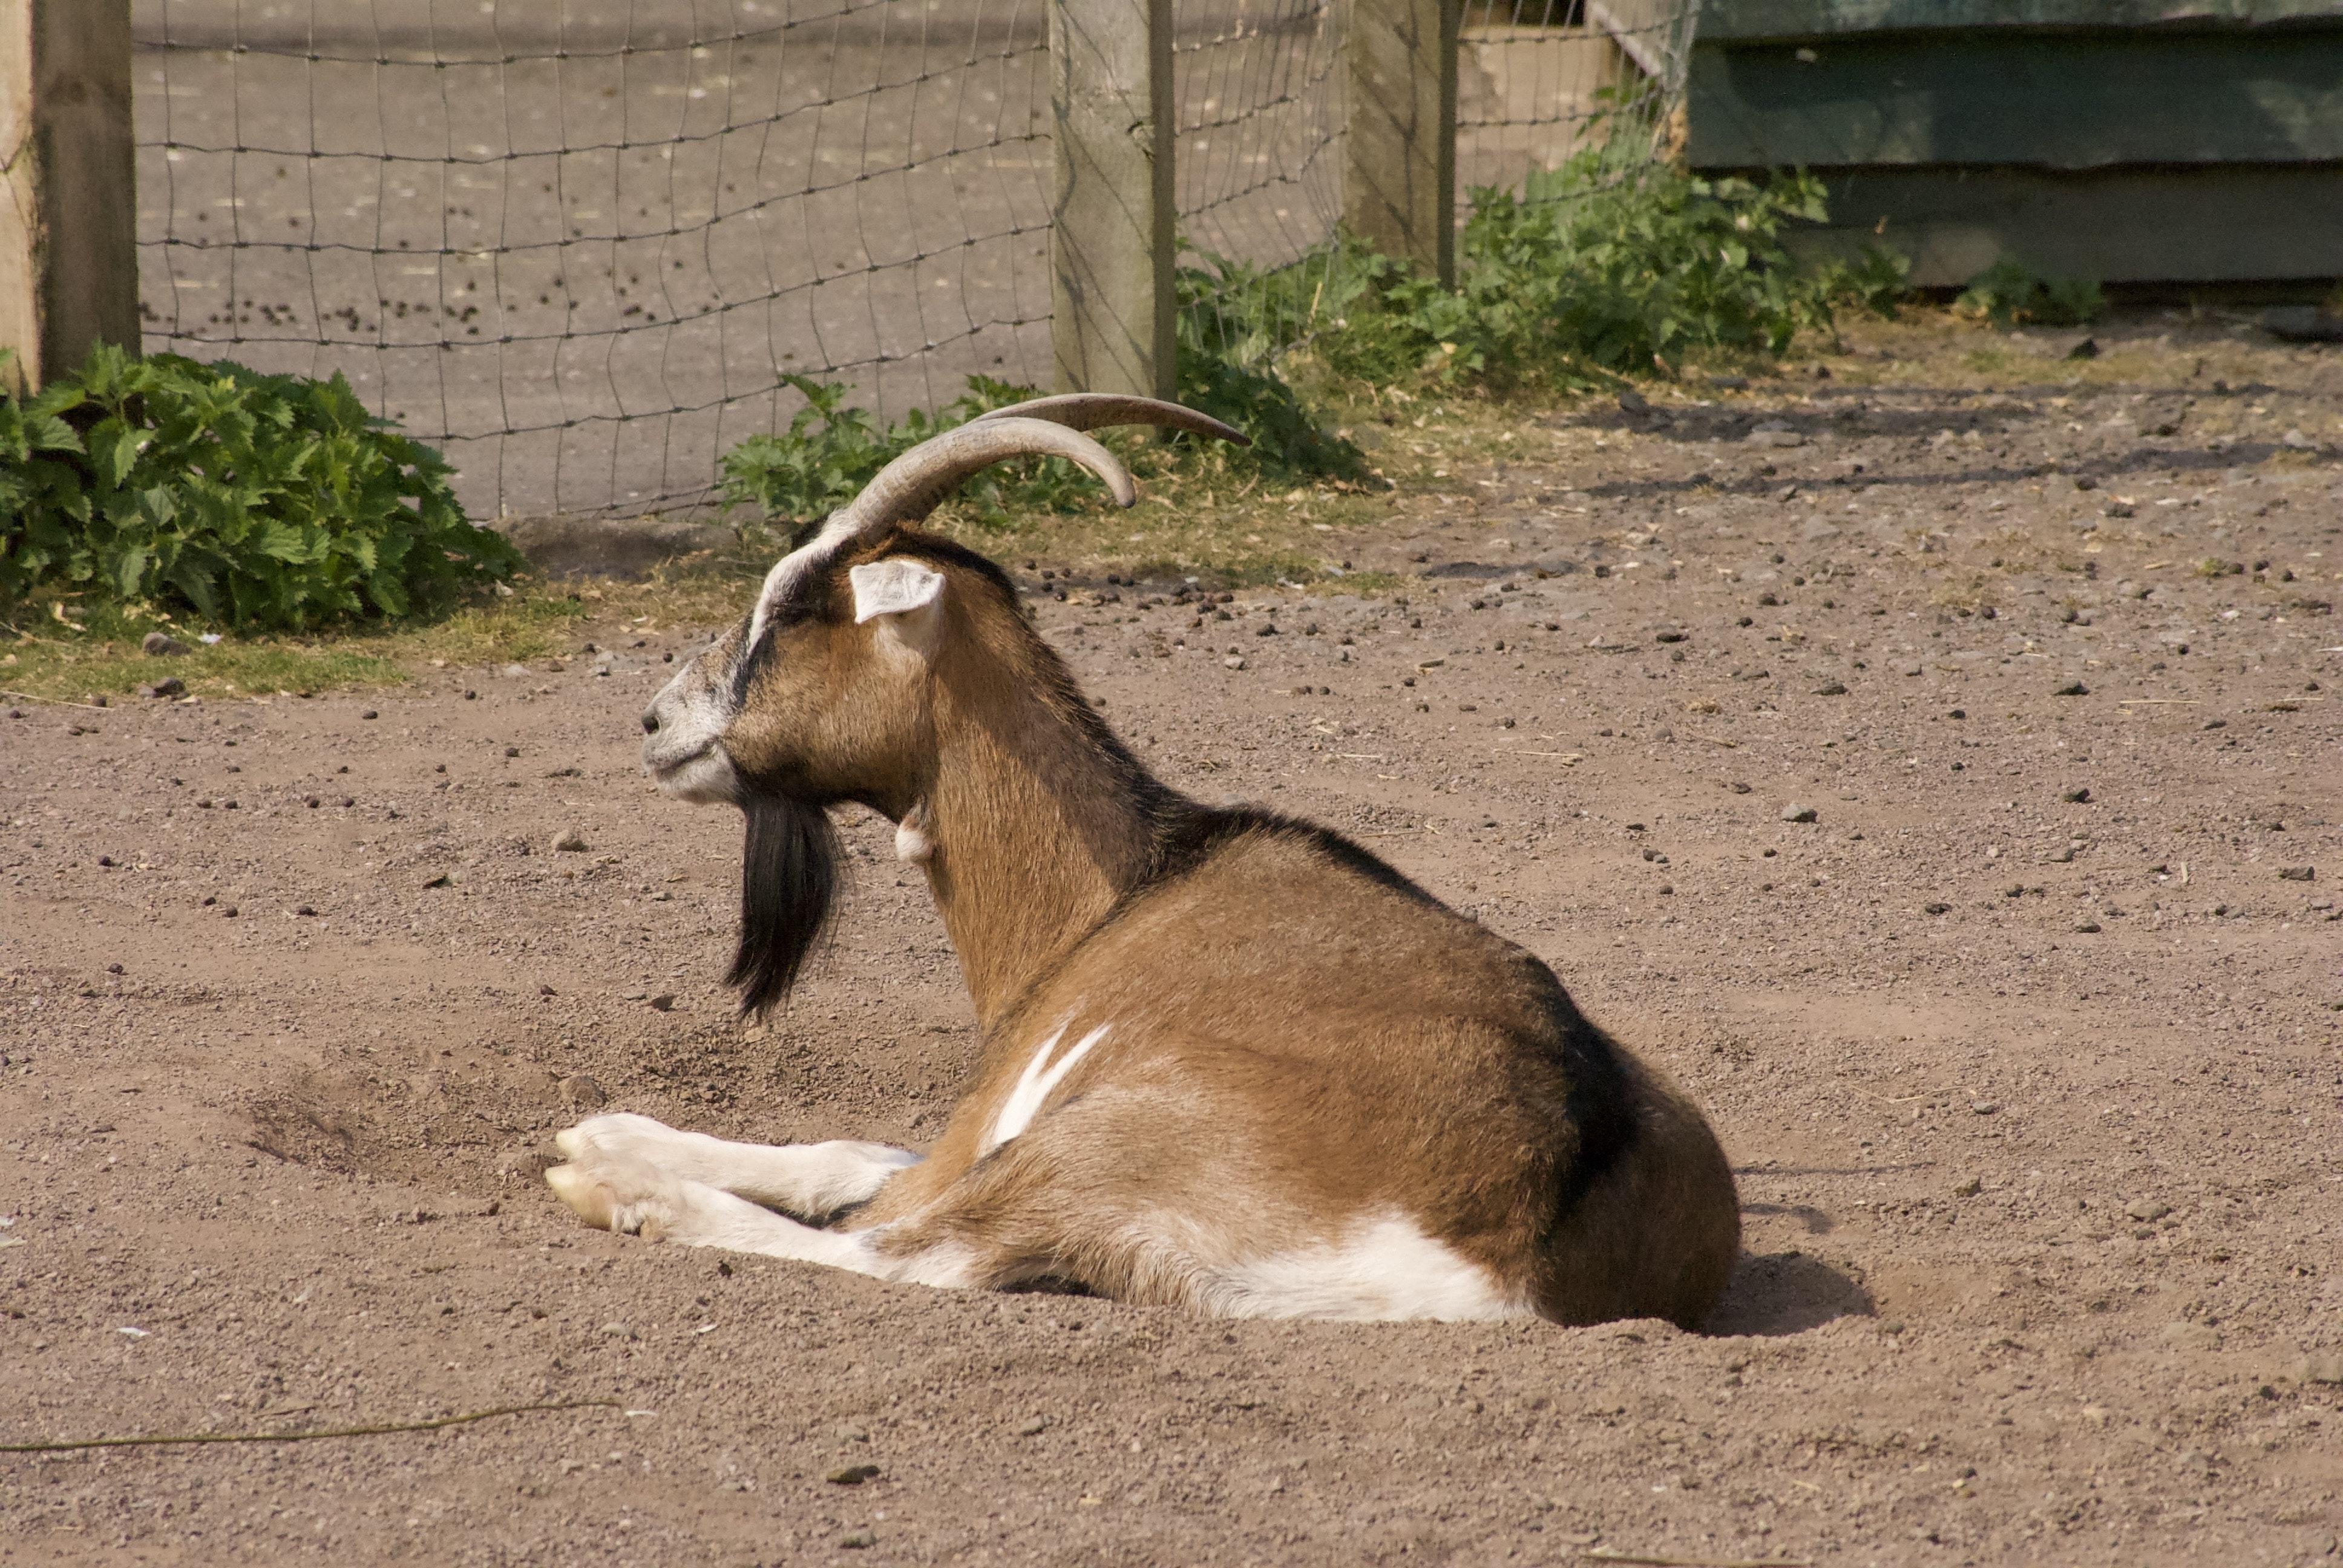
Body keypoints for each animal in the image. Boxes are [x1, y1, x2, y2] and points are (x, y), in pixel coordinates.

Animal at [539, 398, 1734, 1331]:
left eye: (788, 609)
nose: (655, 724)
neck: (1122, 891)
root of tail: (1514, 1243)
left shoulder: (984, 1128)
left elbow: (867, 1189)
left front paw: (607, 1151)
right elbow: (844, 1150)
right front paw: (609, 1123)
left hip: (1092, 1144)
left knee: (900, 1253)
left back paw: (612, 1189)